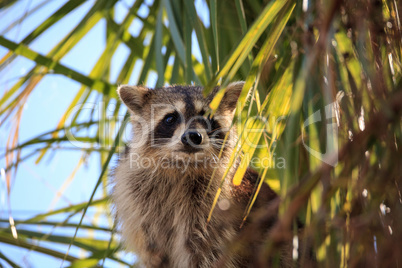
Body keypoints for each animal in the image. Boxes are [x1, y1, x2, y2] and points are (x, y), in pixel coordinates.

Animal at [114, 82, 286, 266]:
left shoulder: (213, 203)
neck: (182, 166)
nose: (193, 136)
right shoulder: (137, 202)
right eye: (170, 118)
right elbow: (153, 250)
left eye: (209, 118)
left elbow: (204, 249)